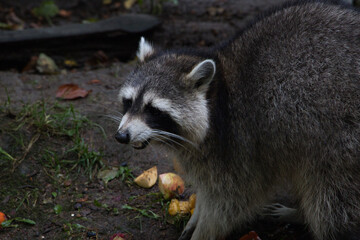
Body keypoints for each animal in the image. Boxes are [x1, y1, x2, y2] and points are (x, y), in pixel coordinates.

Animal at [114, 0, 360, 239]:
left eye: (153, 110)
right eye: (129, 102)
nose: (121, 136)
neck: (216, 92)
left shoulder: (239, 143)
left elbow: (229, 203)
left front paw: (203, 231)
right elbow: (208, 191)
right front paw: (197, 211)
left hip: (340, 140)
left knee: (330, 200)